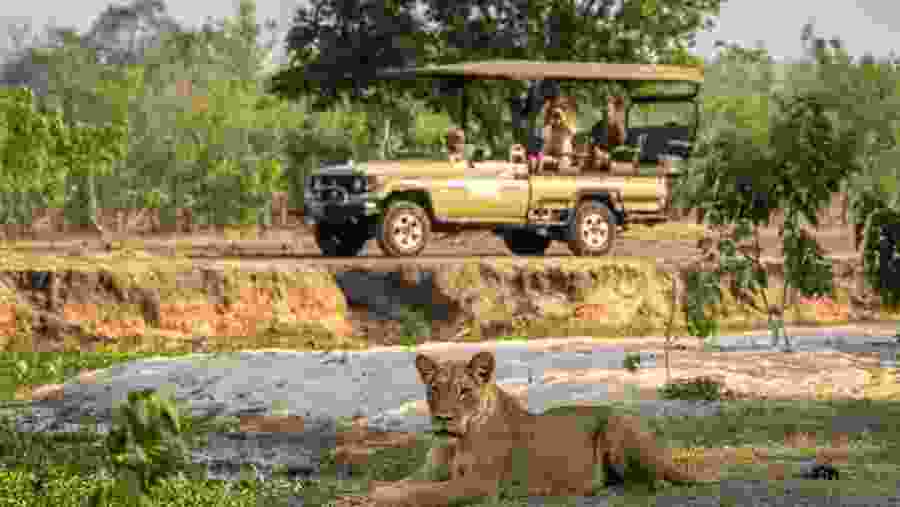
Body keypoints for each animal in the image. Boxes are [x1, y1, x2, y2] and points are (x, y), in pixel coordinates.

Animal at [370, 351, 717, 506]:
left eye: (464, 391)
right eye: (434, 390)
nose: (443, 418)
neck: (453, 443)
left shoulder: (480, 485)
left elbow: (423, 492)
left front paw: (381, 498)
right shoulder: (429, 472)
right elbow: (403, 483)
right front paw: (377, 491)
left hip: (617, 425)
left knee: (657, 481)